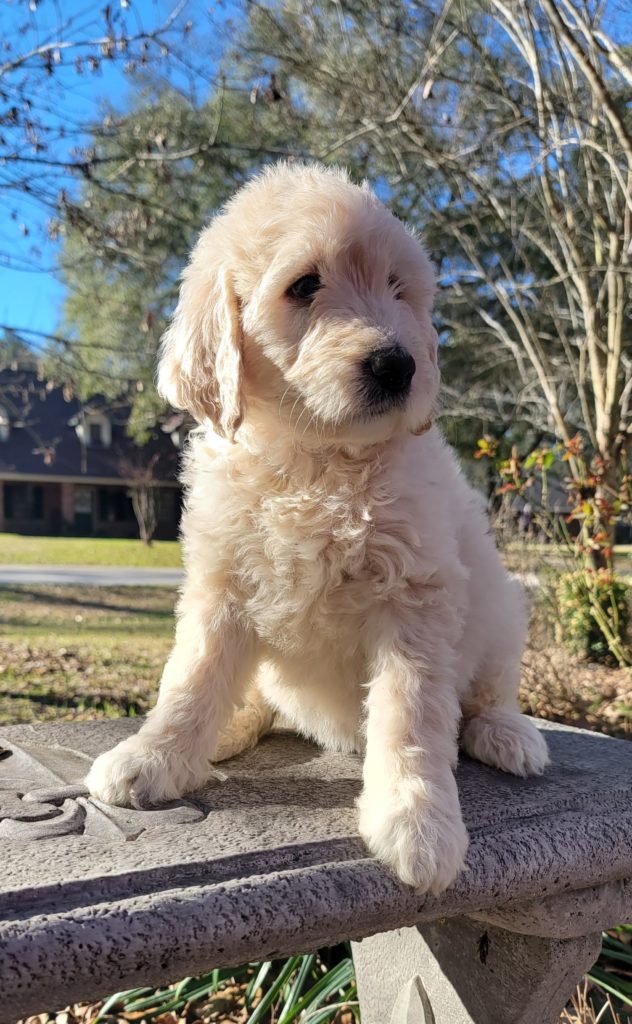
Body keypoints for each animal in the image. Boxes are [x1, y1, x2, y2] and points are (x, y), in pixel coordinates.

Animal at [85, 163, 549, 892]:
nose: (398, 364)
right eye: (304, 286)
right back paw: (233, 726)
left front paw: (416, 821)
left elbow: (409, 713)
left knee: (488, 691)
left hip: (502, 609)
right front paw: (155, 755)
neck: (314, 459)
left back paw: (508, 736)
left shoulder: (415, 596)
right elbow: (191, 676)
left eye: (398, 289)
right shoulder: (221, 584)